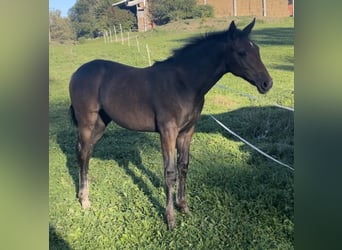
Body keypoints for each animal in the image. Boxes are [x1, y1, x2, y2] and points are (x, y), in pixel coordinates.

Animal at [69, 19, 272, 230]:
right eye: (242, 52)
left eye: (257, 49)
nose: (267, 83)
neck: (184, 84)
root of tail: (77, 72)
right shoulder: (168, 131)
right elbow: (170, 172)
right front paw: (171, 219)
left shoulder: (187, 131)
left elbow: (183, 166)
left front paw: (184, 207)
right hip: (87, 123)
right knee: (82, 152)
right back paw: (84, 200)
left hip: (100, 124)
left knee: (86, 152)